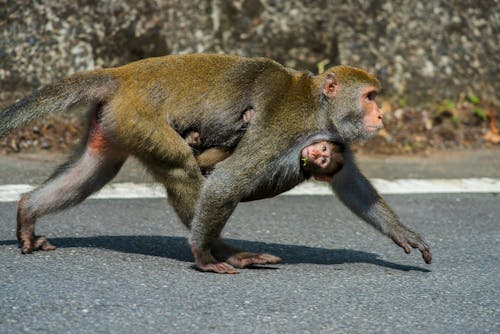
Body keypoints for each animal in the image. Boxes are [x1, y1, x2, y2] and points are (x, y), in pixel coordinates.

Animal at [0, 54, 430, 274]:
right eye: (371, 96)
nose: (381, 116)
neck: (318, 108)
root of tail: (123, 74)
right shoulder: (285, 127)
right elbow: (228, 180)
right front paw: (205, 257)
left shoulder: (333, 136)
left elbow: (350, 183)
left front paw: (401, 232)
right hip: (140, 116)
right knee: (180, 167)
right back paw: (222, 253)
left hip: (116, 121)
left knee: (92, 172)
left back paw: (27, 211)